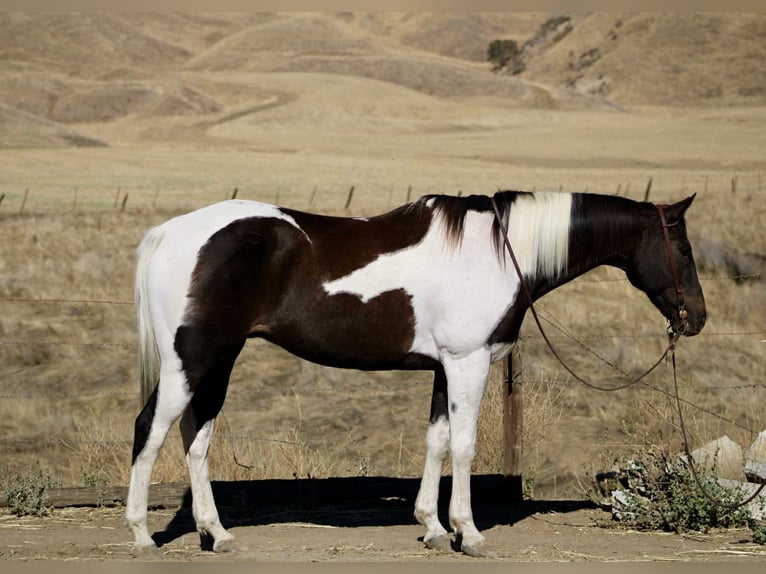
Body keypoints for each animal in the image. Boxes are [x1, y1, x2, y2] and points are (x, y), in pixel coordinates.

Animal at [124, 190, 706, 558]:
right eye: (682, 247)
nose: (695, 318)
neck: (500, 250)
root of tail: (169, 233)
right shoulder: (469, 362)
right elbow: (466, 446)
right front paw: (468, 533)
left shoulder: (445, 368)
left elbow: (437, 441)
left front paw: (432, 527)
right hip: (193, 360)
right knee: (150, 430)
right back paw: (142, 536)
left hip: (216, 362)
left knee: (195, 439)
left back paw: (216, 534)